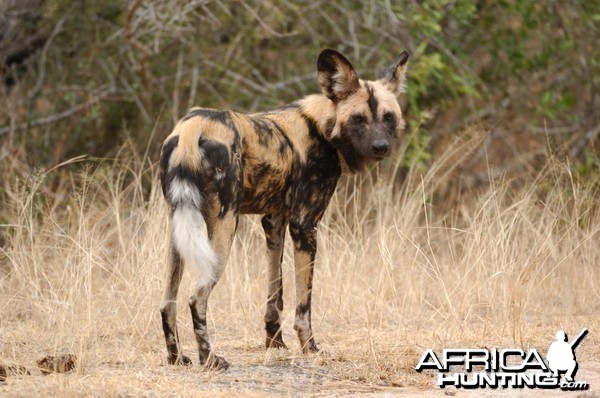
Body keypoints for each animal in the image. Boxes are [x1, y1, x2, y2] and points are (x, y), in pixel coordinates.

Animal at [159, 48, 410, 368]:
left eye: (388, 117)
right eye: (358, 119)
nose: (380, 147)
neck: (322, 128)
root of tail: (193, 127)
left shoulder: (274, 221)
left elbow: (274, 293)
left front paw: (274, 343)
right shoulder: (304, 226)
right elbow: (304, 302)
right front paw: (310, 347)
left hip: (179, 230)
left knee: (167, 302)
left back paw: (177, 357)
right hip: (224, 229)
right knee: (196, 296)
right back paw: (210, 358)